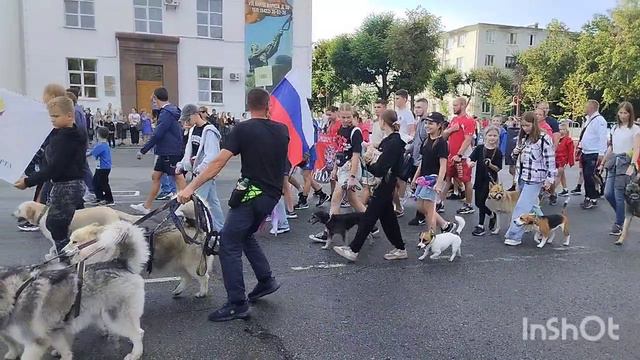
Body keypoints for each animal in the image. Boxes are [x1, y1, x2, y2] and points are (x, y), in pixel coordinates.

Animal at [0, 221, 149, 358]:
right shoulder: (55, 330)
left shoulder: (36, 342)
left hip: (115, 317)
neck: (16, 295)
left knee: (137, 333)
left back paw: (135, 354)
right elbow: (63, 346)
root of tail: (119, 263)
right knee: (139, 329)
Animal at [13, 201, 141, 260]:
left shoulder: (55, 237)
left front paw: (52, 255)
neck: (42, 214)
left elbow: (54, 247)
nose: (12, 214)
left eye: (19, 210)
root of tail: (112, 211)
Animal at [71, 222, 214, 298]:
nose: (64, 252)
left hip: (191, 264)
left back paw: (202, 293)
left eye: (74, 242)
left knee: (204, 278)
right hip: (178, 263)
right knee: (187, 277)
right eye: (71, 240)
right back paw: (178, 290)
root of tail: (197, 230)